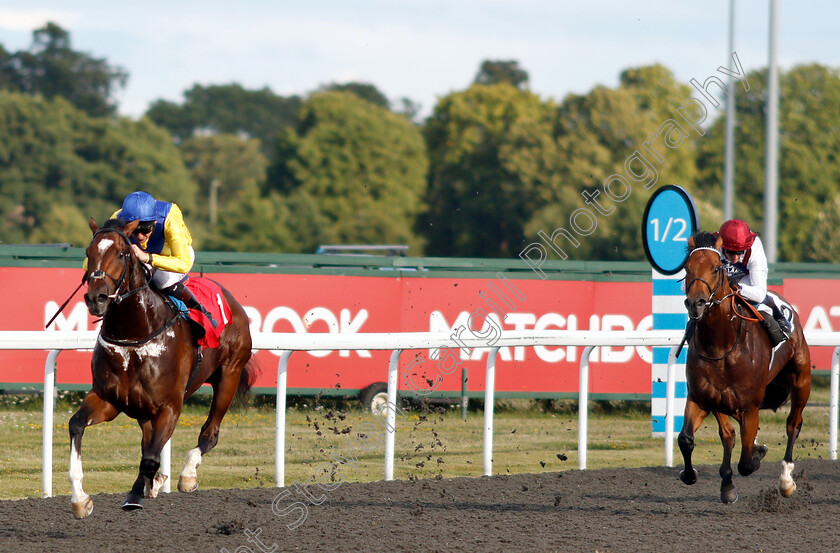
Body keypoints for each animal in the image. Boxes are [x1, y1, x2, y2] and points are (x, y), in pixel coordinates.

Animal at [69, 219, 256, 516]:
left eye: (121, 254)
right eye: (88, 252)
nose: (96, 298)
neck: (134, 335)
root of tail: (231, 300)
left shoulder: (170, 406)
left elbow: (150, 459)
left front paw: (141, 491)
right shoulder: (108, 398)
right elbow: (76, 425)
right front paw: (80, 499)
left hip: (230, 374)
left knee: (209, 433)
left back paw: (187, 474)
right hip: (144, 409)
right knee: (149, 441)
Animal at [680, 231, 812, 502]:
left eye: (716, 268)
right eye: (687, 268)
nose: (696, 303)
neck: (720, 345)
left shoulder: (750, 406)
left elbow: (747, 463)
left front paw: (757, 455)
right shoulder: (702, 397)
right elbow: (688, 439)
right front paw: (694, 475)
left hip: (801, 381)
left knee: (793, 425)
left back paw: (786, 480)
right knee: (729, 434)